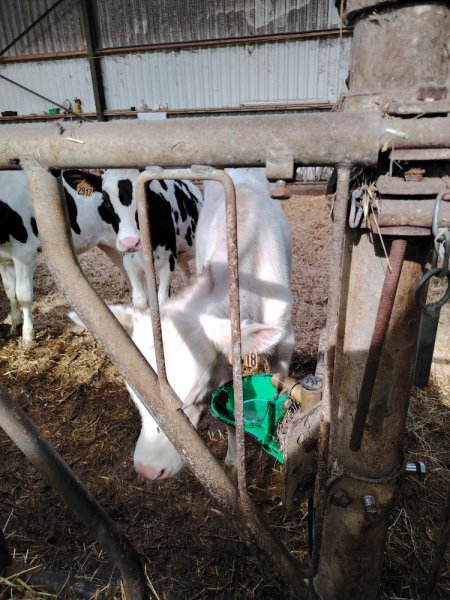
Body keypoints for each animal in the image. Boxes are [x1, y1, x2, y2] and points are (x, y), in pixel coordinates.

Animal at [0, 169, 203, 344]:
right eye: (105, 199)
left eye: (146, 194)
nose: (130, 242)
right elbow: (11, 291)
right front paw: (15, 324)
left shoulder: (24, 250)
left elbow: (23, 294)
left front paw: (27, 337)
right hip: (113, 248)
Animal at [70, 168, 294, 480]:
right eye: (137, 396)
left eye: (193, 396)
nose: (148, 469)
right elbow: (230, 413)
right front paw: (233, 460)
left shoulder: (285, 339)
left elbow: (280, 393)